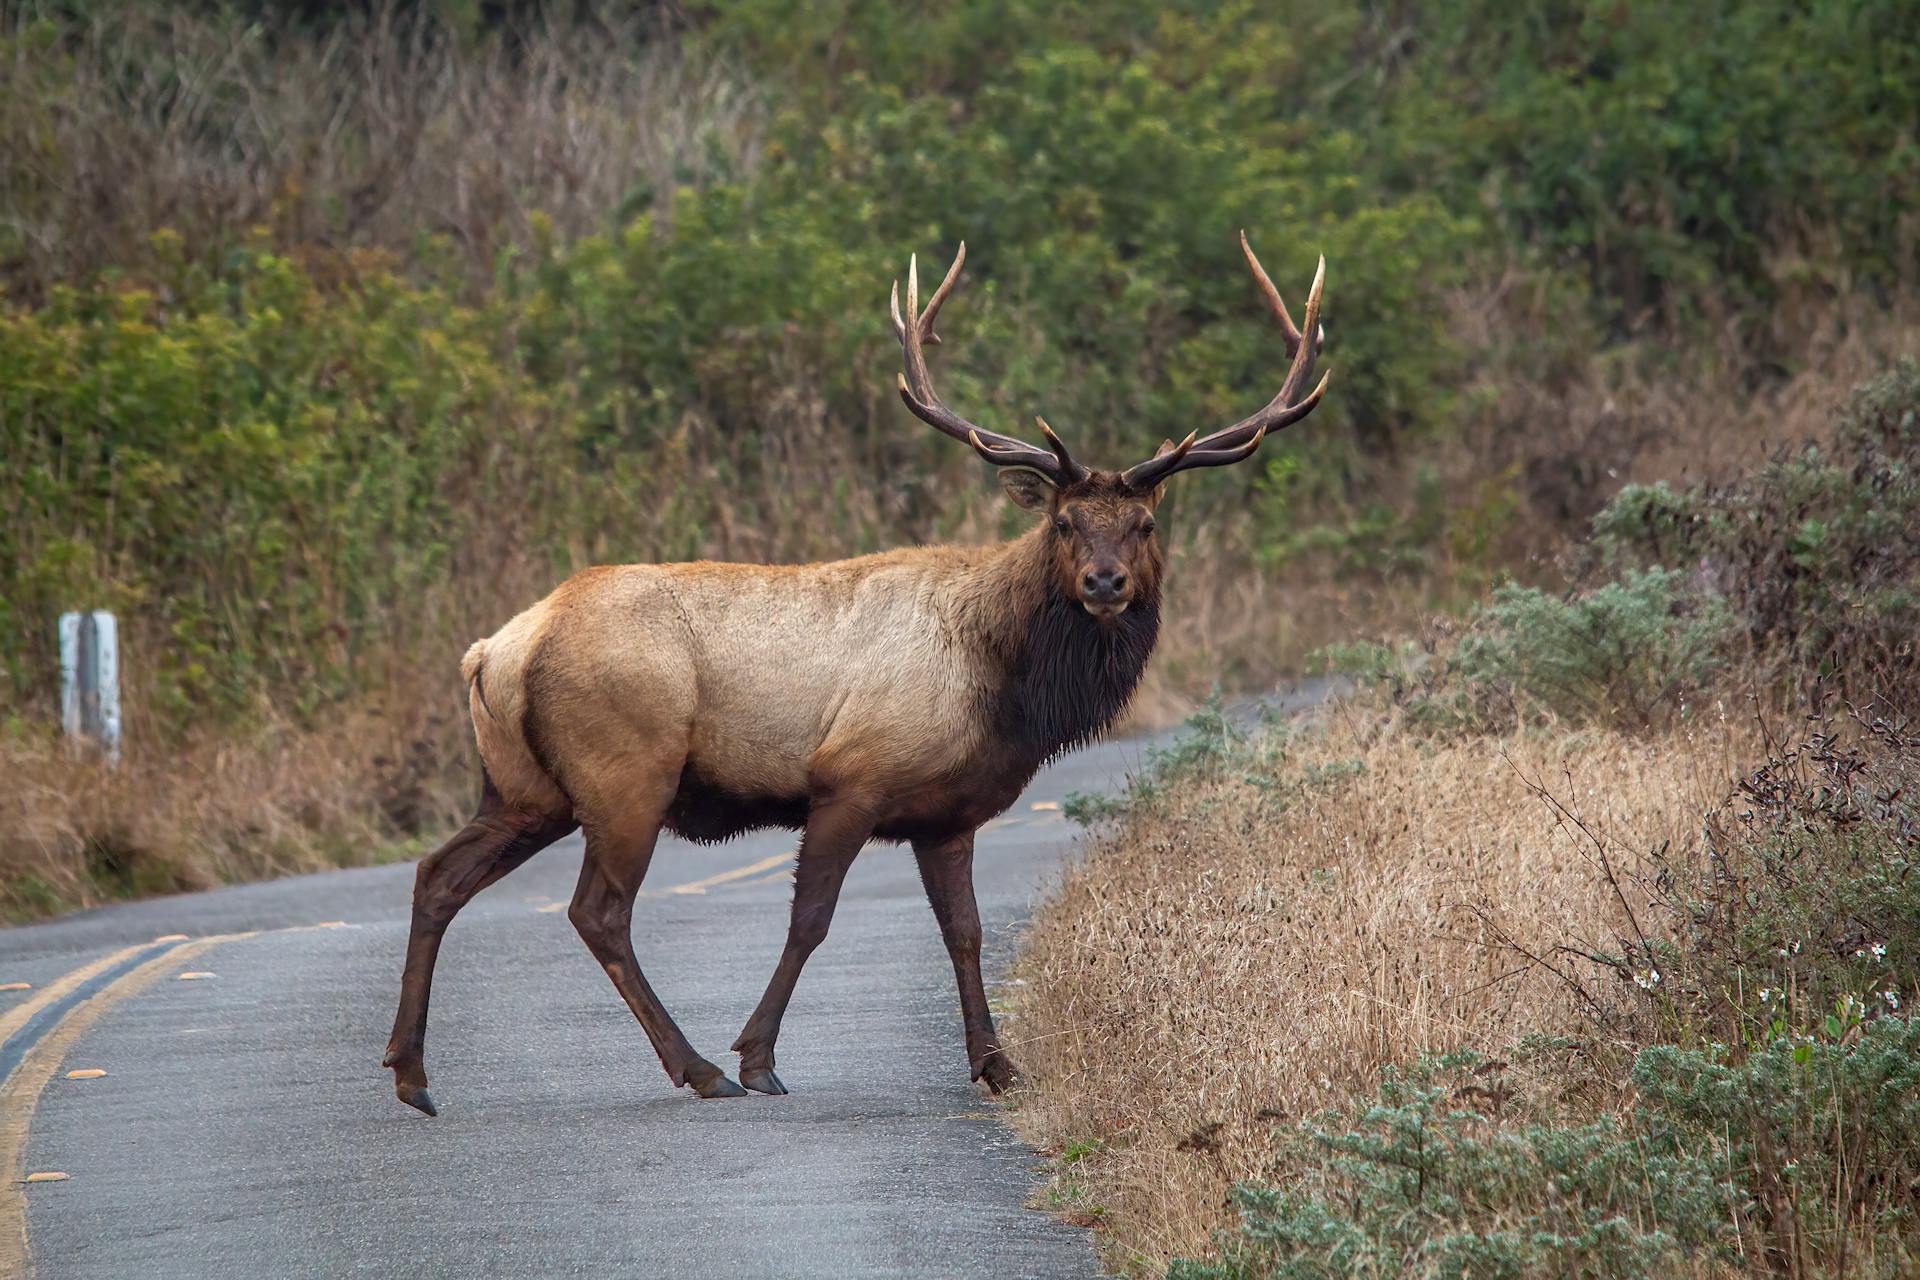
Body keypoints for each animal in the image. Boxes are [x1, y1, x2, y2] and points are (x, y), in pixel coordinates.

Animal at [382, 230, 1328, 1113]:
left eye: (1143, 524)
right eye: (1063, 522)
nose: (1105, 582)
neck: (1006, 687)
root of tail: (496, 649)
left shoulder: (948, 814)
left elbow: (966, 932)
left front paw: (998, 1065)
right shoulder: (851, 777)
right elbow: (811, 919)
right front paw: (758, 1059)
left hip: (523, 788)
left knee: (438, 876)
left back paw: (411, 1073)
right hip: (626, 771)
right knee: (597, 911)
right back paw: (697, 1069)